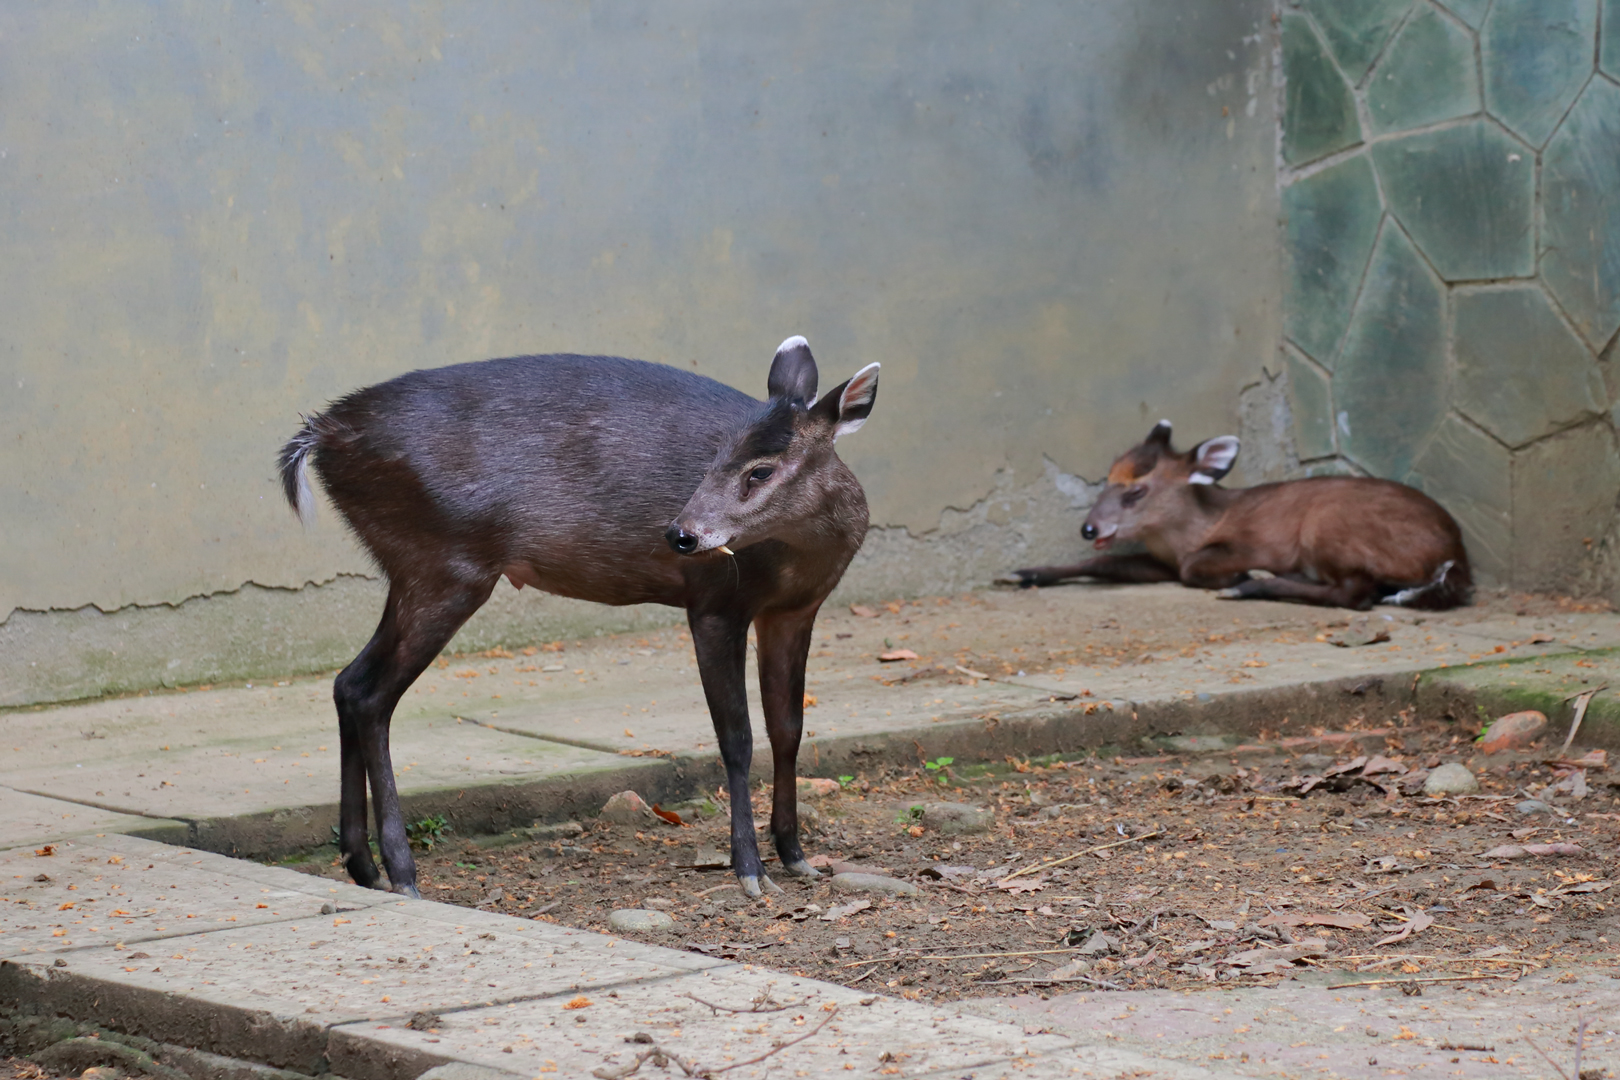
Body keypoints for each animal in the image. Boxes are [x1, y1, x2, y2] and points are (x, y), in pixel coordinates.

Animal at [277, 336, 879, 899]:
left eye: (761, 469)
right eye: (713, 459)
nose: (680, 535)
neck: (795, 561)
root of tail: (321, 434)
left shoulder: (794, 611)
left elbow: (789, 728)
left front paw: (796, 855)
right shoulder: (713, 604)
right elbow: (737, 738)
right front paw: (750, 871)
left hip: (412, 570)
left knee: (349, 682)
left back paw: (363, 866)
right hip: (441, 565)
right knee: (373, 696)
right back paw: (402, 873)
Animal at [1006, 421, 1471, 610]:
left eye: (1136, 491)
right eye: (1105, 480)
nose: (1089, 527)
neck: (1192, 532)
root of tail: (1456, 557)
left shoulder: (1257, 542)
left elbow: (1194, 568)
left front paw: (1241, 575)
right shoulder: (1161, 561)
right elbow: (1106, 564)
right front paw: (1021, 572)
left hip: (1328, 526)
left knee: (1356, 594)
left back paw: (1249, 586)